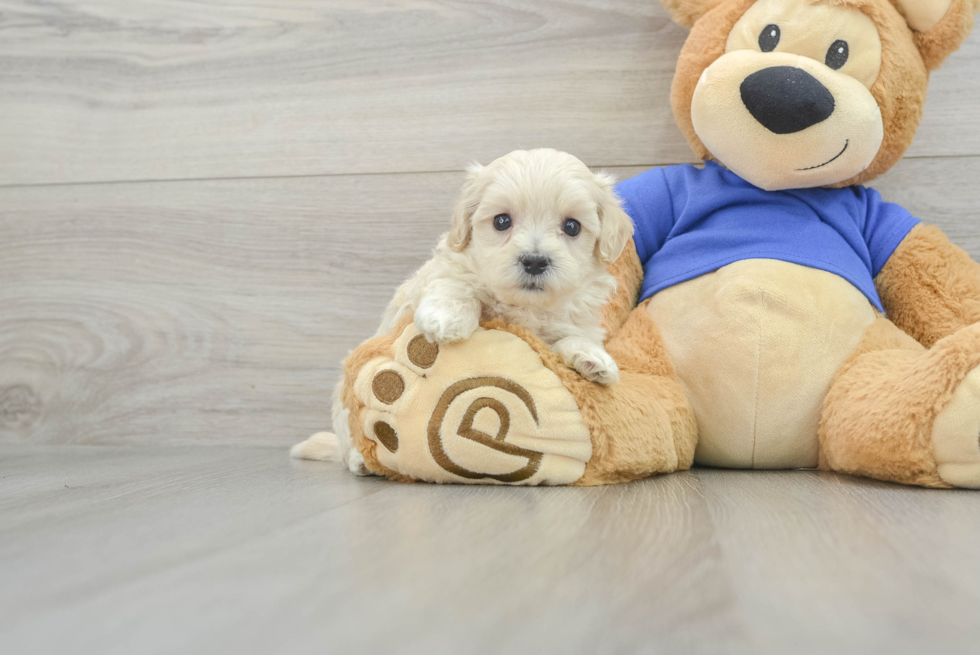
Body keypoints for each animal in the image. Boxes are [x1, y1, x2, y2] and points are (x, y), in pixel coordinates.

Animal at [290, 151, 632, 474]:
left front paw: (593, 359)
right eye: (501, 221)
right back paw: (359, 460)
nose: (534, 261)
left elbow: (570, 337)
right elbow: (458, 285)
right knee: (349, 441)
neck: (524, 306)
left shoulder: (570, 319)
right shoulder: (444, 271)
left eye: (572, 226)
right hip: (344, 410)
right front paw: (447, 318)